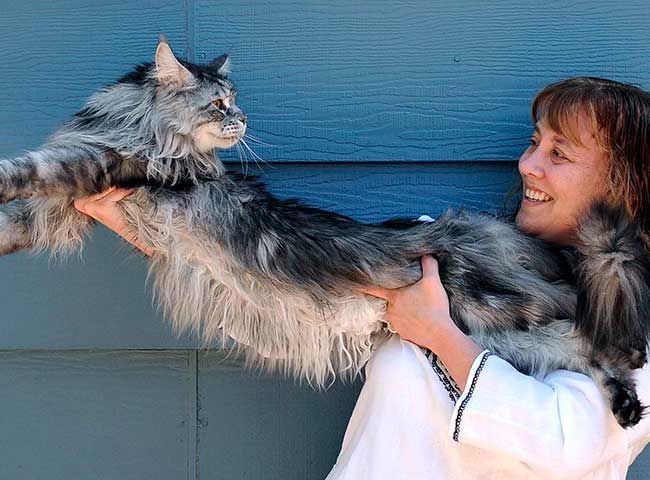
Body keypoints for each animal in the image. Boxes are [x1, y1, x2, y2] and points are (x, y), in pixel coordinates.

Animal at [1, 38, 648, 428]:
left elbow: (23, 171)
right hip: (506, 339)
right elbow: (16, 220)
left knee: (596, 327)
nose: (243, 119)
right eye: (219, 104)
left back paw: (630, 377)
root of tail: (491, 231)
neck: (134, 124)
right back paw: (625, 406)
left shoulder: (95, 169)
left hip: (504, 309)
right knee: (585, 353)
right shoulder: (69, 202)